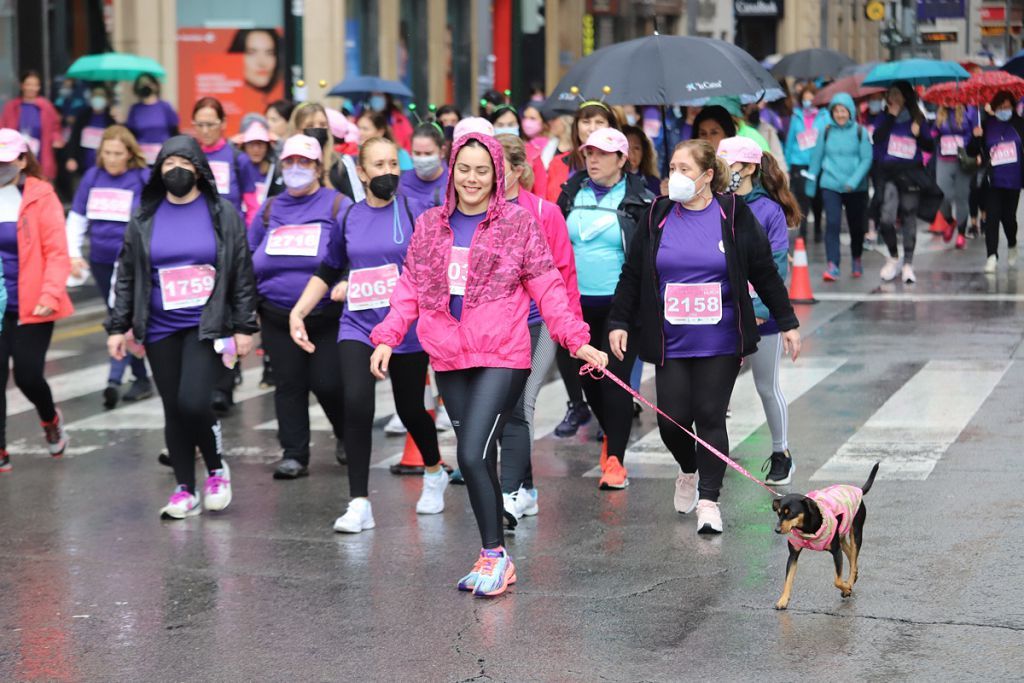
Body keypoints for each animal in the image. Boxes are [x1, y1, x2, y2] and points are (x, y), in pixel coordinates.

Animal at [770, 462, 880, 610]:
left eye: (790, 513)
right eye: (778, 513)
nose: (776, 530)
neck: (807, 528)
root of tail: (858, 490)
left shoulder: (836, 551)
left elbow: (837, 580)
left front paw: (846, 588)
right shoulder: (793, 555)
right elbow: (788, 579)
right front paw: (783, 600)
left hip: (856, 532)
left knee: (853, 556)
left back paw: (850, 581)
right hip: (841, 534)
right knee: (851, 555)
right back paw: (853, 577)